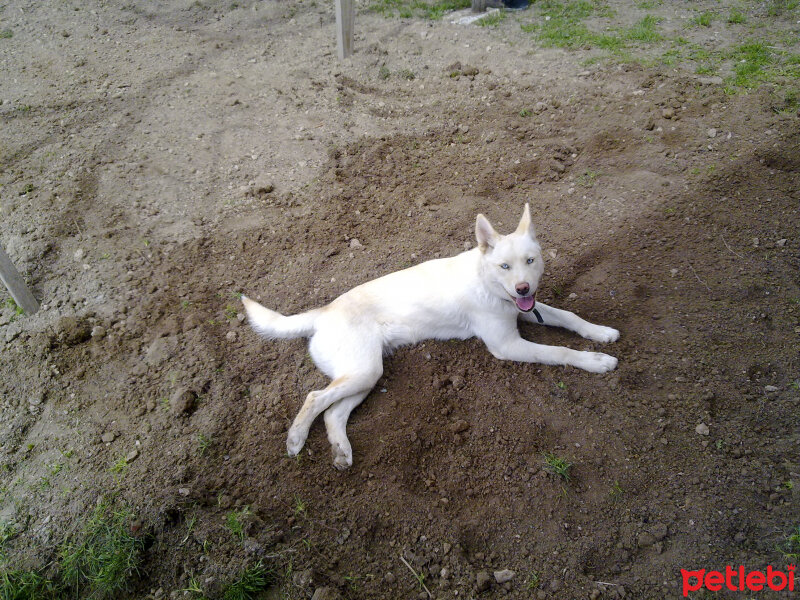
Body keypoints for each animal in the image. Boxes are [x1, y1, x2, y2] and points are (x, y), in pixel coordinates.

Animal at [242, 205, 620, 468]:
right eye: (505, 267)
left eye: (530, 260)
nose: (523, 288)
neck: (488, 284)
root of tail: (323, 312)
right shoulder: (507, 345)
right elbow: (559, 351)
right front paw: (594, 360)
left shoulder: (526, 310)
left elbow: (570, 317)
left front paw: (600, 332)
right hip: (362, 371)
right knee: (314, 398)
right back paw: (296, 438)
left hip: (365, 374)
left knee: (333, 412)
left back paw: (341, 451)